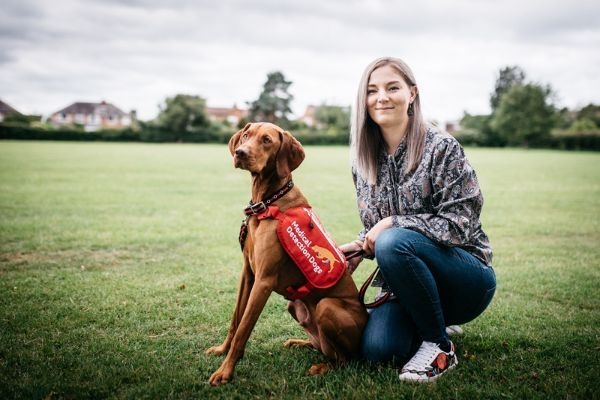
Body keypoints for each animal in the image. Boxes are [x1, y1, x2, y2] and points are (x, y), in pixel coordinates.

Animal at [205, 122, 366, 388]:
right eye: (246, 136)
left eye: (267, 140)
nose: (240, 152)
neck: (267, 203)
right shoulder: (248, 273)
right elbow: (235, 320)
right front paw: (222, 350)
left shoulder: (264, 280)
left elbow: (244, 329)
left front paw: (225, 372)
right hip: (295, 306)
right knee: (323, 347)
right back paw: (300, 343)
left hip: (327, 307)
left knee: (347, 359)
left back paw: (323, 367)